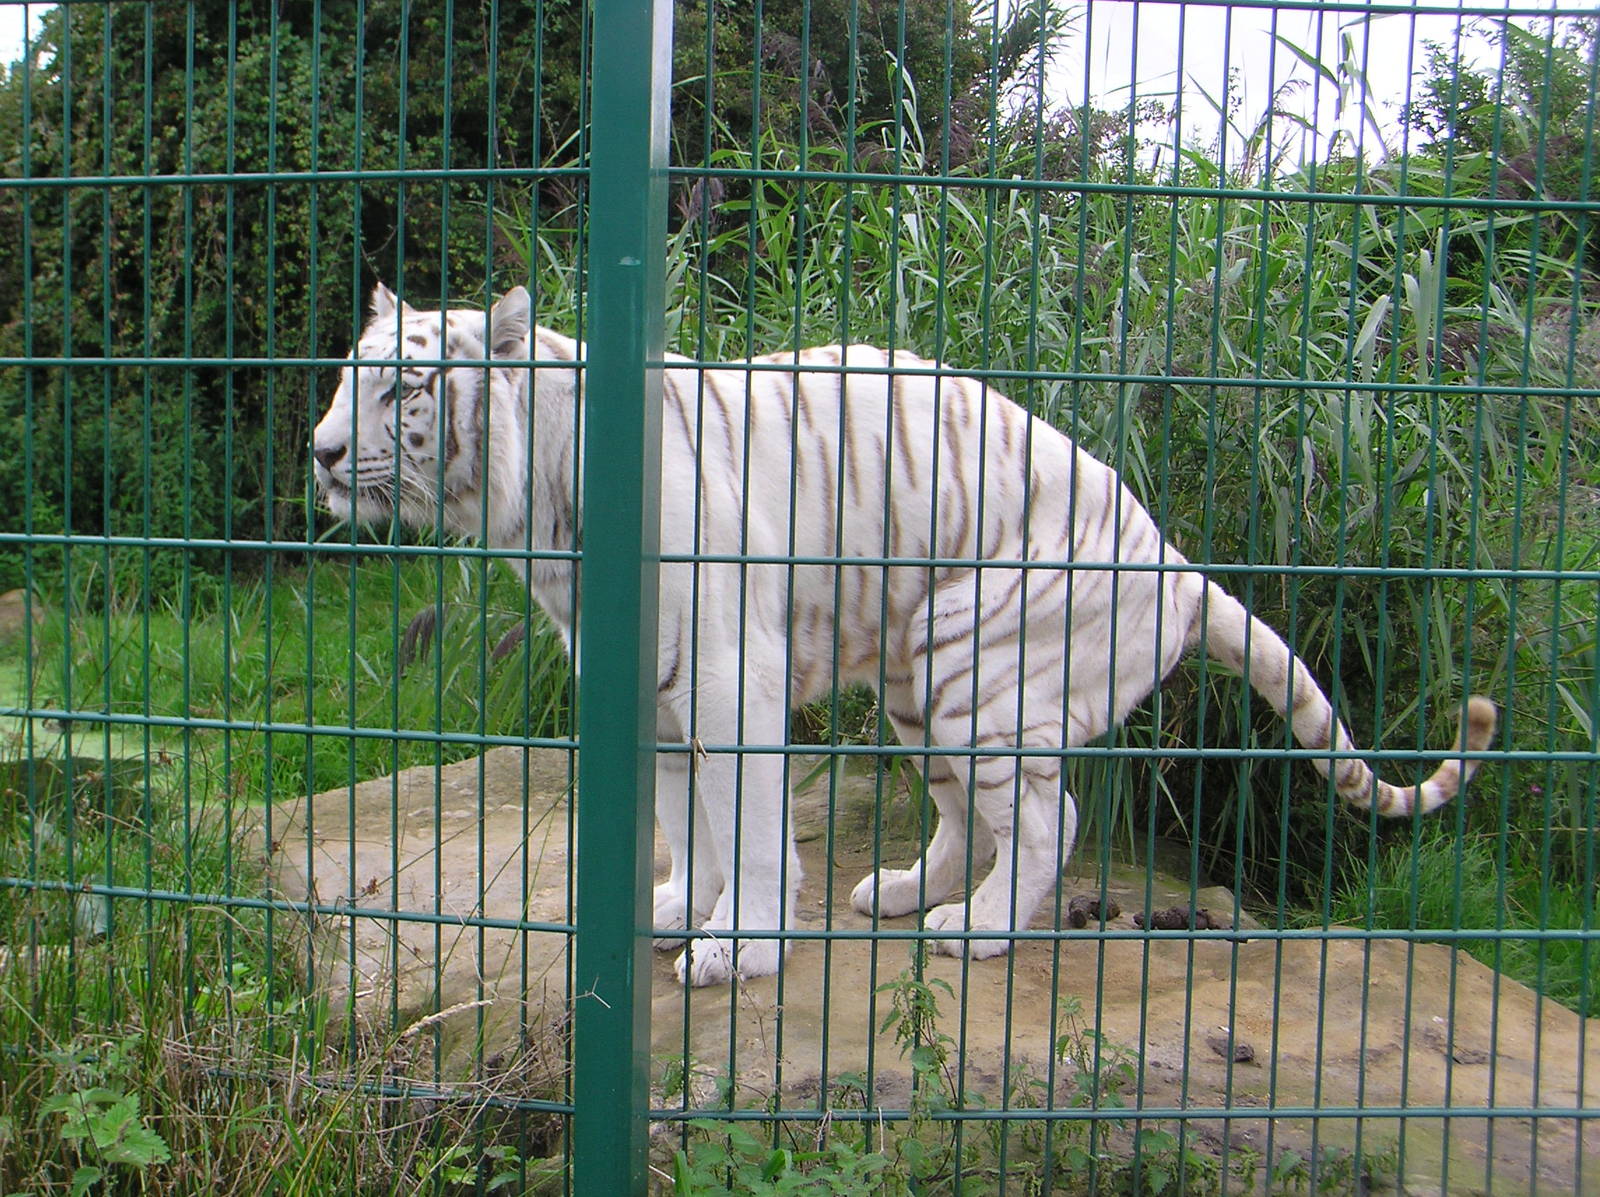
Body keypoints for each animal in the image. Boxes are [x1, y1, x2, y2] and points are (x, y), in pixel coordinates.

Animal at [311, 282, 1498, 987]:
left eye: (404, 388)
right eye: (344, 377)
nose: (318, 451)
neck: (544, 500)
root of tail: (1175, 564)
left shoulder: (731, 678)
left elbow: (748, 826)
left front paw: (740, 945)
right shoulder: (650, 687)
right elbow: (686, 822)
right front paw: (680, 908)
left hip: (978, 662)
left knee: (1048, 816)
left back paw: (975, 928)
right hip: (916, 684)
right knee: (968, 817)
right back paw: (903, 894)